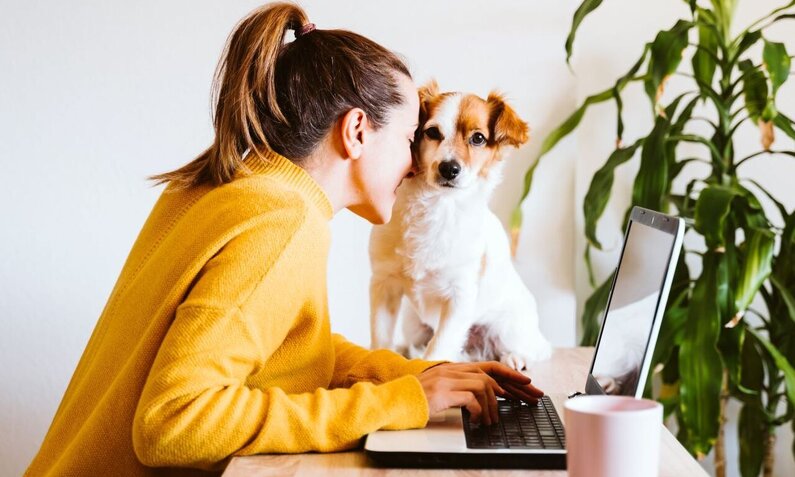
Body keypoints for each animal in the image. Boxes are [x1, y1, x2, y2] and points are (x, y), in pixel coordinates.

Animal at [368, 79, 552, 368]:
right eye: (432, 132)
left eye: (478, 138)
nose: (449, 168)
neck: (437, 206)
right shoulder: (384, 284)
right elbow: (380, 340)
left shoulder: (460, 296)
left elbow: (438, 350)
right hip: (413, 323)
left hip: (509, 328)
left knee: (540, 349)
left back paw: (516, 357)